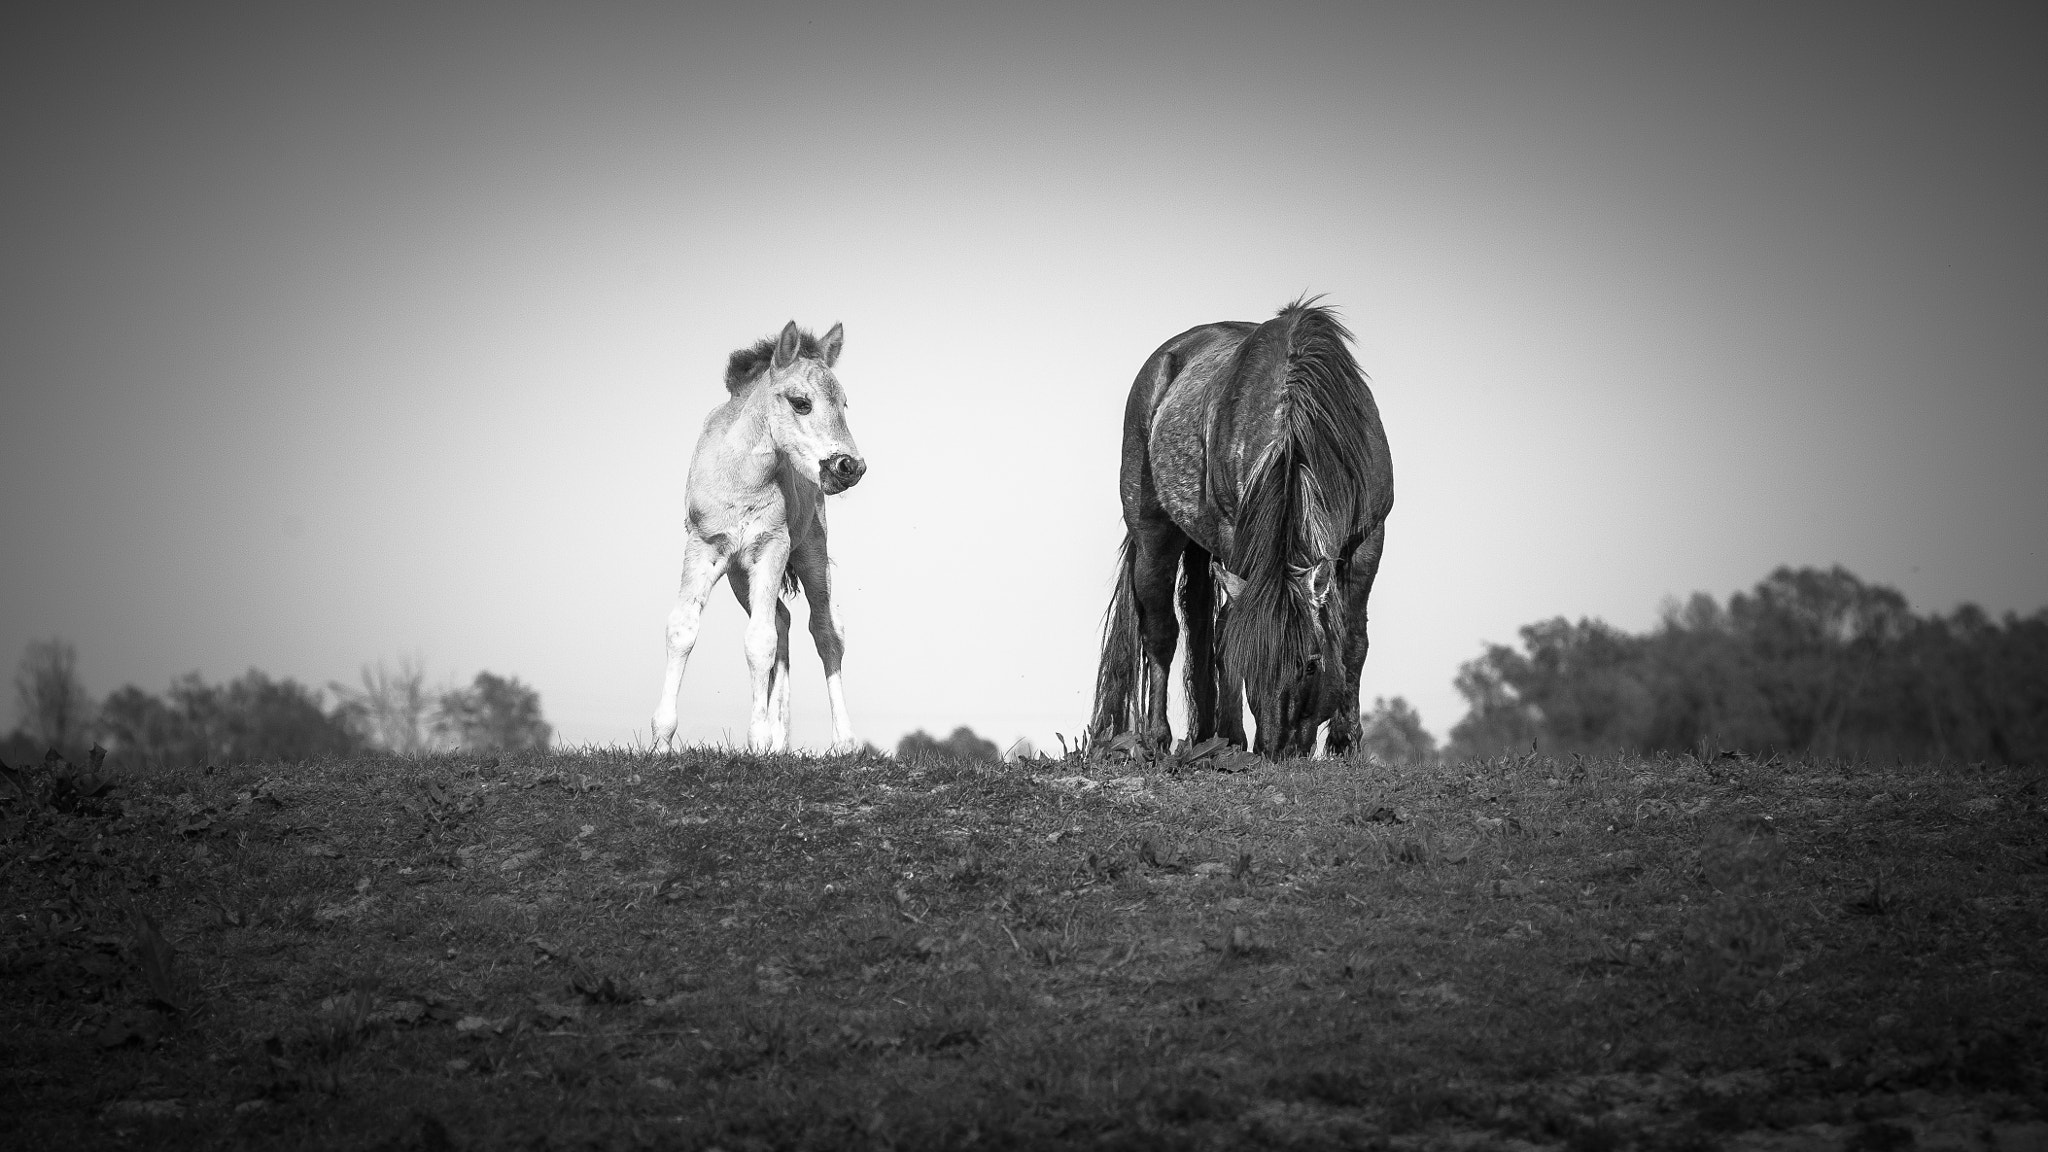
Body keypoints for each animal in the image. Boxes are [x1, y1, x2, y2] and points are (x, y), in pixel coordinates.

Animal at [651, 319, 868, 754]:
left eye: (843, 404)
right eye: (801, 402)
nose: (849, 466)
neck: (741, 480)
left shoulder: (773, 547)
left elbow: (759, 640)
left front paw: (757, 738)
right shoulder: (703, 547)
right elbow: (682, 628)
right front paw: (661, 740)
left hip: (811, 553)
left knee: (825, 632)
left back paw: (844, 742)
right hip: (738, 575)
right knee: (782, 619)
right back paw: (780, 740)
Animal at [1089, 301, 1392, 758]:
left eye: (1312, 664)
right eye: (1252, 663)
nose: (1277, 751)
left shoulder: (1368, 539)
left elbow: (1354, 639)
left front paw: (1346, 742)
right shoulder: (1236, 540)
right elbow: (1227, 635)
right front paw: (1232, 738)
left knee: (1197, 625)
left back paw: (1203, 736)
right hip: (1155, 538)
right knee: (1163, 631)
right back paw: (1162, 738)